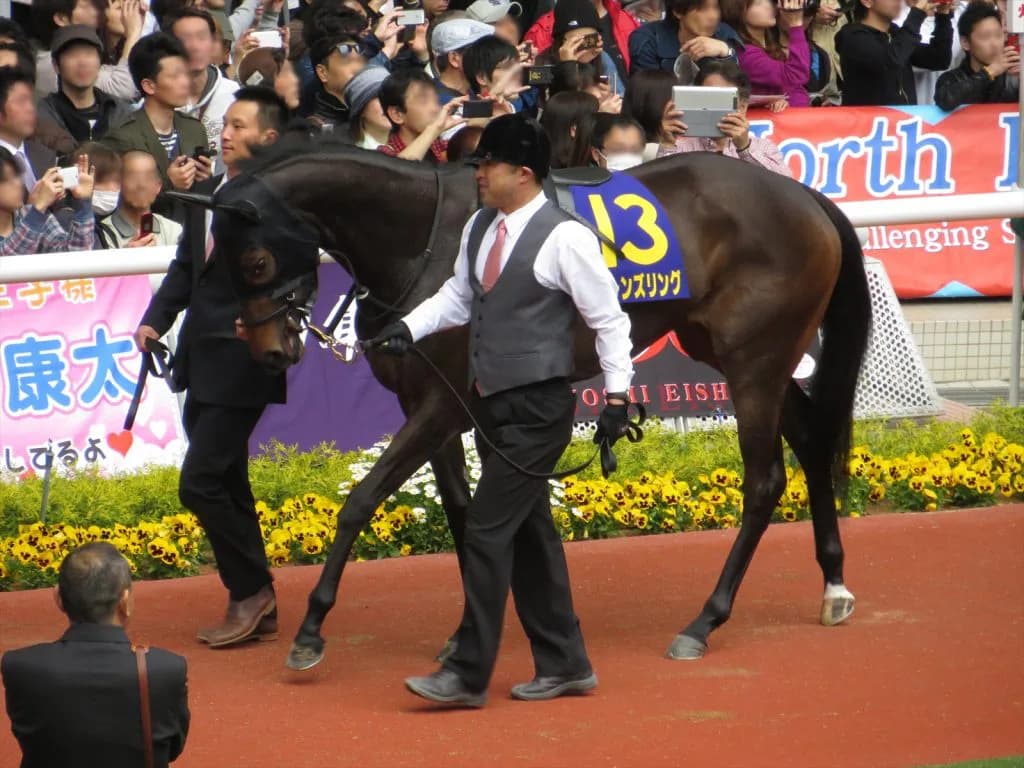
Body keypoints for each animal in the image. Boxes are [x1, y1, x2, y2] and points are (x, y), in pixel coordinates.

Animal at [195, 137, 871, 672]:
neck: (422, 237)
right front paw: (470, 629)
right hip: (741, 353)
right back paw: (835, 583)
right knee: (812, 442)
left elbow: (362, 501)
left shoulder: (444, 403)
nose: (268, 351)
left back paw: (705, 620)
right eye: (218, 263)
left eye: (255, 259)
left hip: (755, 360)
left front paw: (311, 629)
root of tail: (802, 196)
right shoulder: (430, 406)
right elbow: (466, 515)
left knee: (764, 480)